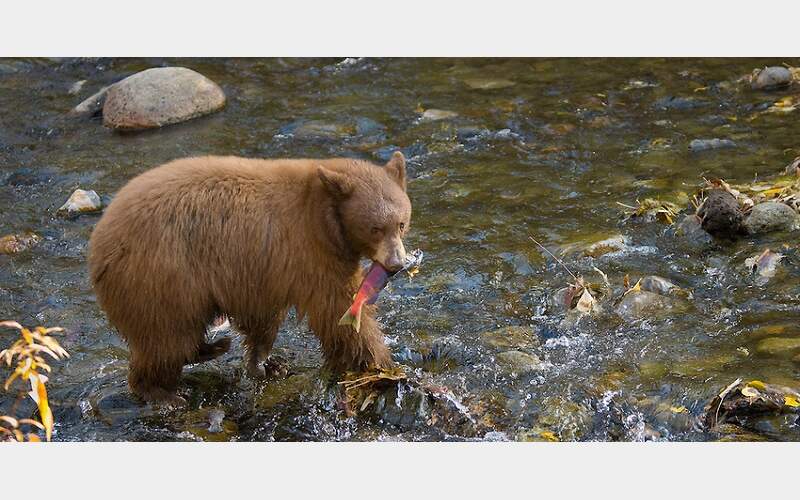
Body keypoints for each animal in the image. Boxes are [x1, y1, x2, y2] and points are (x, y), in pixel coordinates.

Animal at [88, 152, 411, 404]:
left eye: (401, 223)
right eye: (375, 228)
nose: (396, 264)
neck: (326, 219)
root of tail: (99, 241)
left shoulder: (266, 270)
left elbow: (263, 318)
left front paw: (266, 364)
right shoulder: (309, 253)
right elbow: (337, 309)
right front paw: (383, 365)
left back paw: (213, 347)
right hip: (162, 276)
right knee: (165, 335)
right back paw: (161, 393)